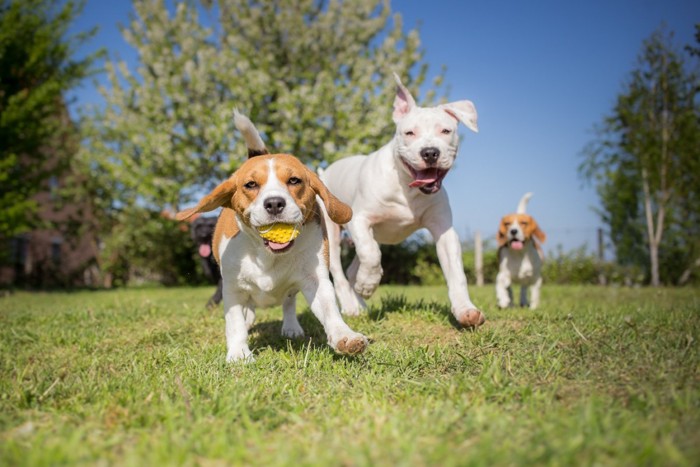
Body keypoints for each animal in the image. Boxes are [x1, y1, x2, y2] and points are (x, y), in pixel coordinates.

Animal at [178, 112, 370, 362]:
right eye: (250, 184)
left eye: (294, 180)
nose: (275, 203)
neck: (267, 253)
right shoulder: (231, 287)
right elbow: (234, 322)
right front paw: (239, 354)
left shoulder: (315, 279)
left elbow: (330, 312)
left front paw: (345, 337)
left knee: (288, 302)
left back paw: (291, 327)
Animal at [320, 74, 484, 330]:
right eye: (409, 133)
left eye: (445, 130)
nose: (430, 152)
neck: (407, 188)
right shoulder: (360, 219)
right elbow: (371, 254)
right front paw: (368, 283)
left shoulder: (444, 231)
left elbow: (456, 273)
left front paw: (465, 310)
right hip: (333, 230)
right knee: (339, 269)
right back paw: (351, 305)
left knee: (352, 268)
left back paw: (361, 302)